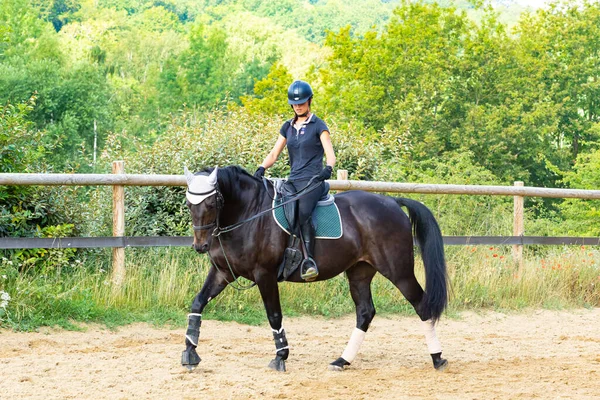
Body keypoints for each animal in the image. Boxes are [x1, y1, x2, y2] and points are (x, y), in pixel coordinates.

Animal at [180, 166, 448, 372]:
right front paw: (190, 353)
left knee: (421, 305)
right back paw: (342, 361)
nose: (201, 246)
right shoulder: (223, 273)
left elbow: (274, 315)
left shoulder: (265, 275)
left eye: (212, 203)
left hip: (398, 271)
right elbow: (197, 303)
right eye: (189, 204)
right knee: (365, 312)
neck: (250, 213)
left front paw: (281, 356)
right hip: (359, 272)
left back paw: (438, 358)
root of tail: (392, 201)